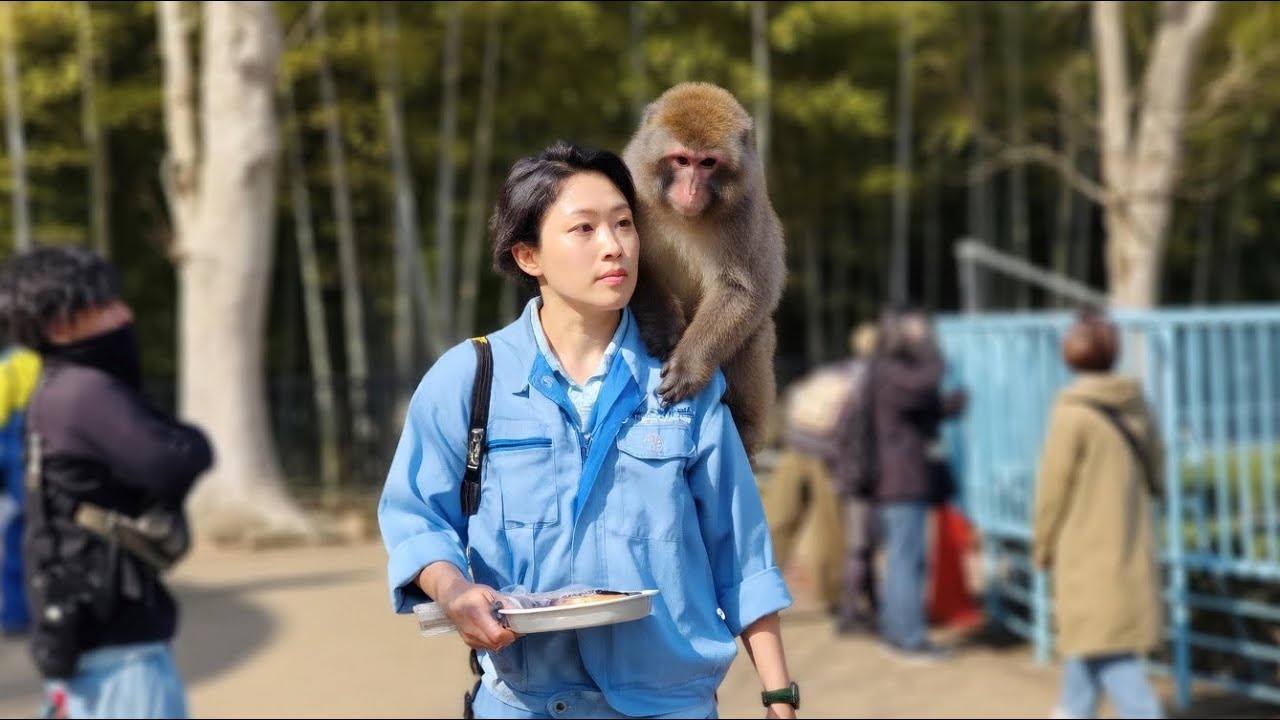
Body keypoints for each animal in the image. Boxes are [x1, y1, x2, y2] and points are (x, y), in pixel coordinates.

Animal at [622, 82, 786, 460]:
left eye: (708, 163)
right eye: (682, 160)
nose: (691, 189)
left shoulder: (746, 211)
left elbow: (744, 291)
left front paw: (689, 366)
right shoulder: (634, 188)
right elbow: (630, 268)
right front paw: (665, 327)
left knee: (757, 331)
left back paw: (742, 425)